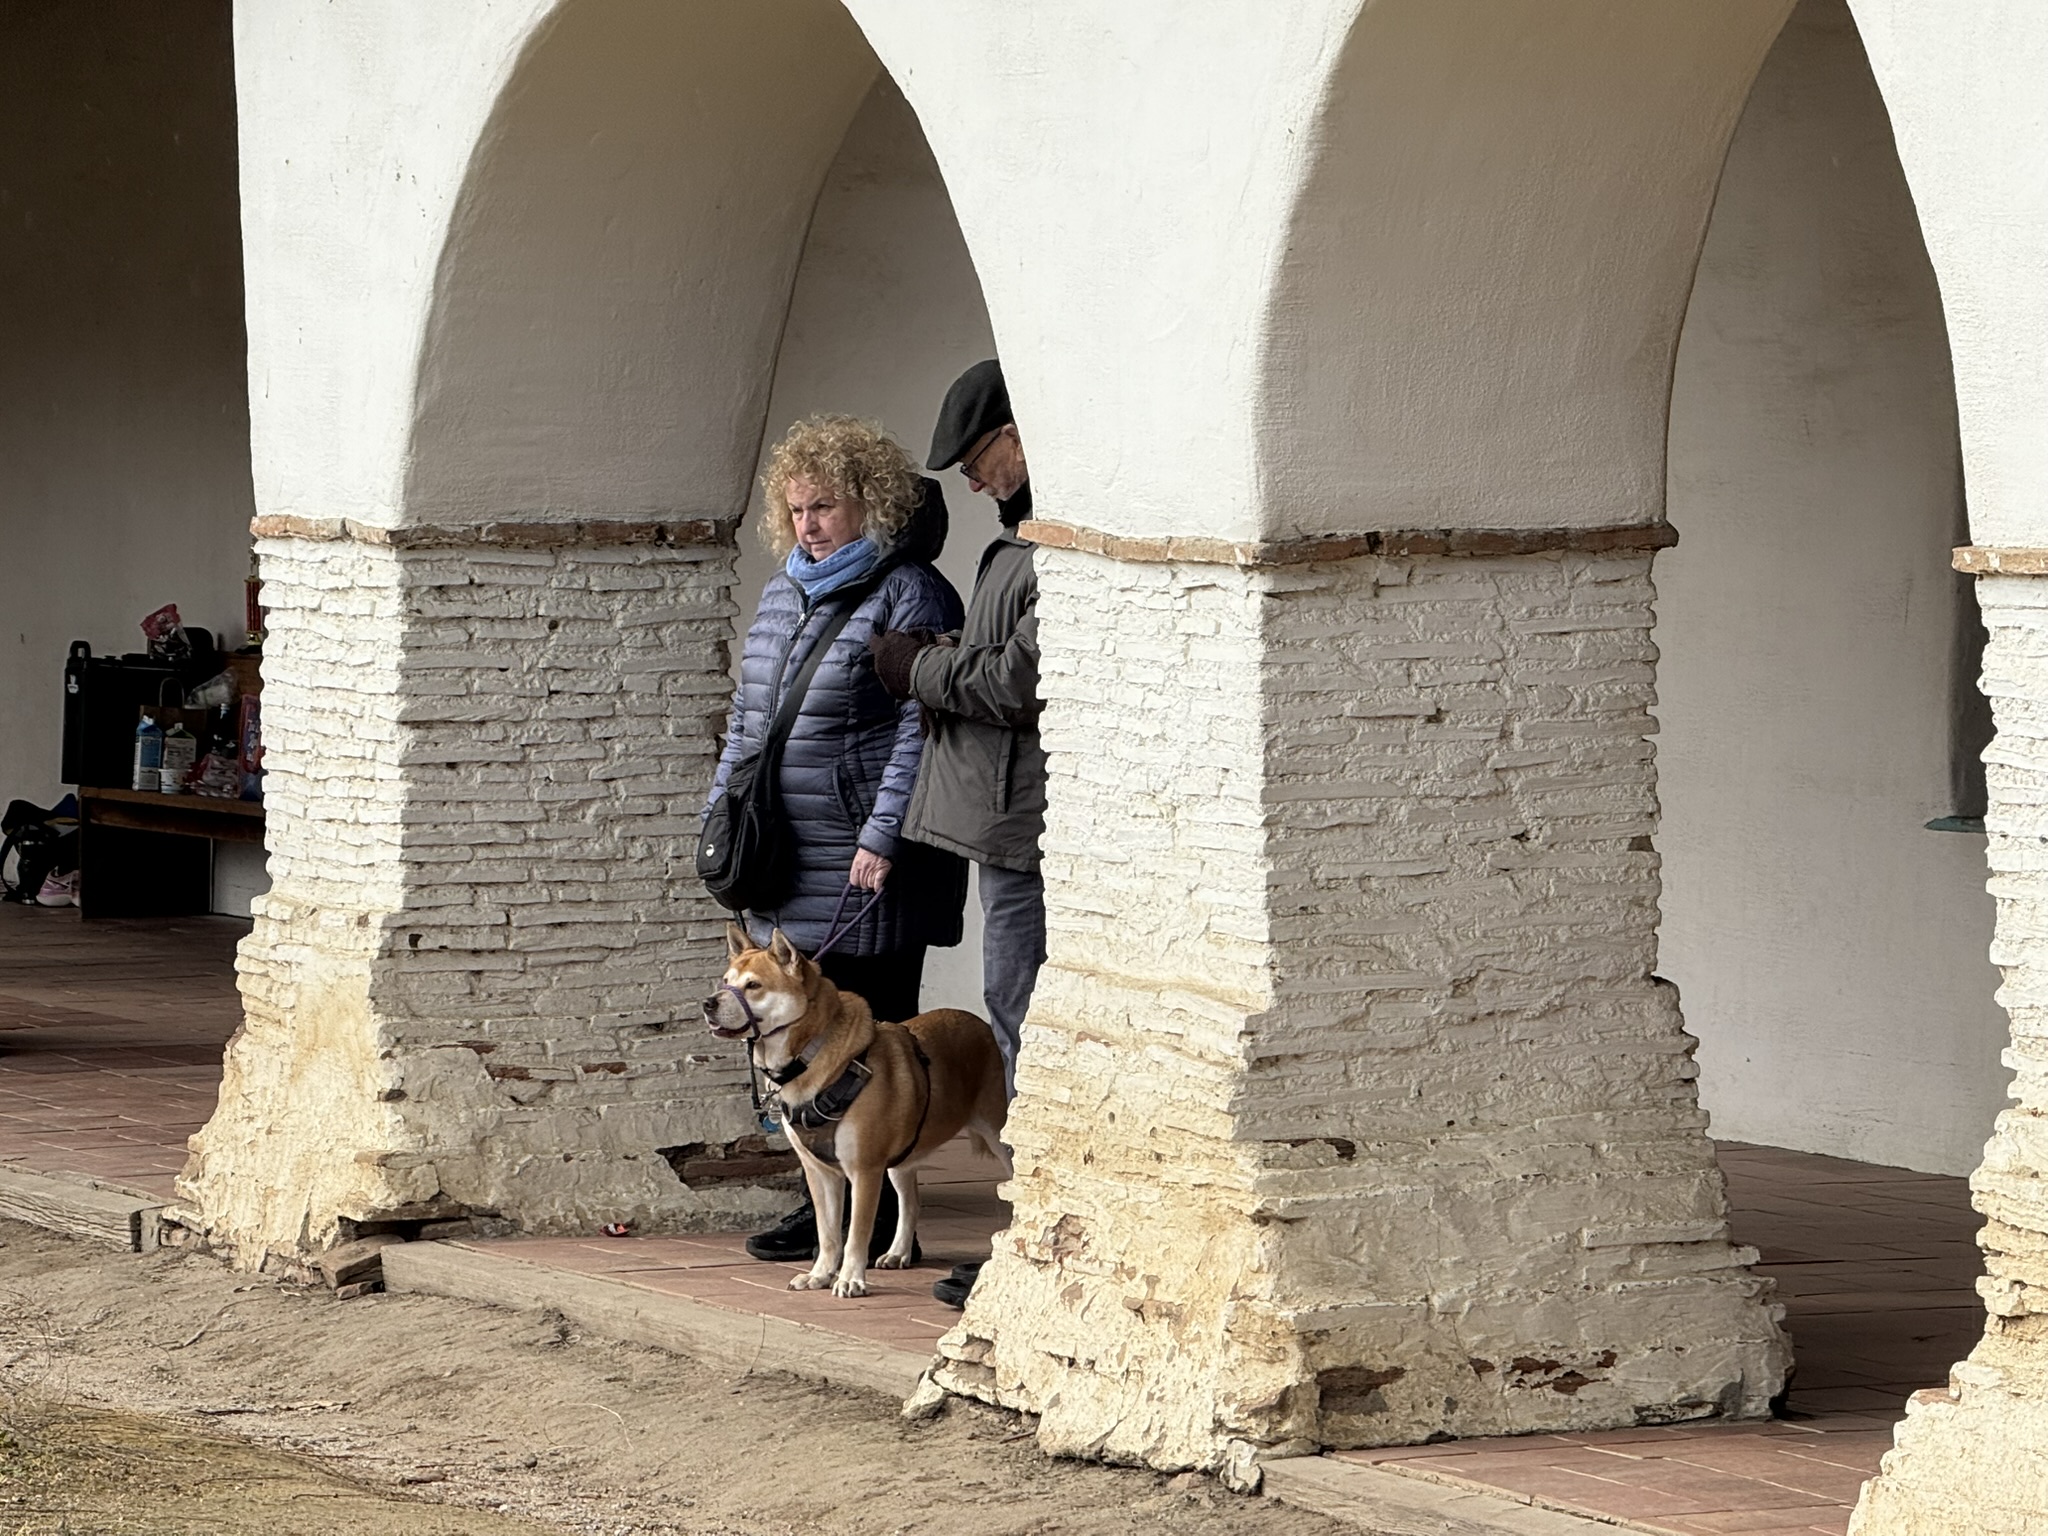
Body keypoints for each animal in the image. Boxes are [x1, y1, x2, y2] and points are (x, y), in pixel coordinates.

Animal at [704, 925, 1007, 1302]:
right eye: (725, 981)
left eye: (753, 985)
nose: (708, 1003)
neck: (811, 1058)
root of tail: (980, 1024)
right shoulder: (820, 1172)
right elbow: (828, 1234)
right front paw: (819, 1275)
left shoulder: (864, 1171)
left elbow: (855, 1236)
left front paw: (850, 1279)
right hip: (901, 1156)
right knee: (911, 1200)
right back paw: (899, 1252)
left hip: (999, 1136)